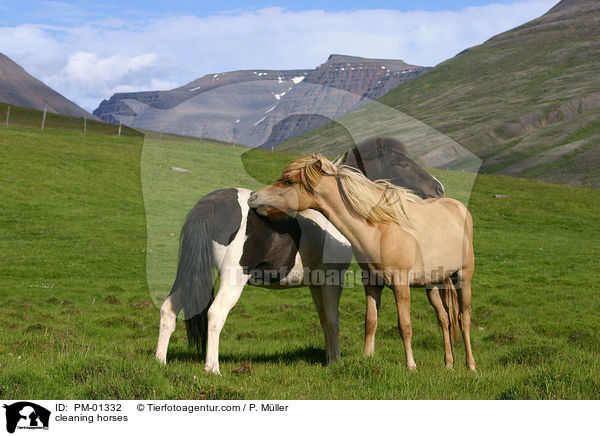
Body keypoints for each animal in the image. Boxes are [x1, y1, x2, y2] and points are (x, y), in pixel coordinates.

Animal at [155, 138, 446, 372]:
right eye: (403, 163)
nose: (439, 189)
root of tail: (209, 204)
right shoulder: (331, 281)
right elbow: (333, 321)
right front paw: (336, 362)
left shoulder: (316, 284)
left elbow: (324, 321)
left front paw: (330, 359)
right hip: (232, 278)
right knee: (215, 314)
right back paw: (212, 368)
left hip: (191, 272)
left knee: (168, 309)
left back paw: (160, 362)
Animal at [247, 154, 474, 372]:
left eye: (289, 181)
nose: (253, 198)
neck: (379, 230)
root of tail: (459, 208)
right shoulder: (372, 284)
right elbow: (370, 321)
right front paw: (367, 357)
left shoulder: (400, 285)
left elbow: (405, 325)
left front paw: (411, 365)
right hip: (434, 284)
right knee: (444, 319)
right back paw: (449, 364)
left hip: (463, 279)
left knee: (463, 318)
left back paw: (470, 365)